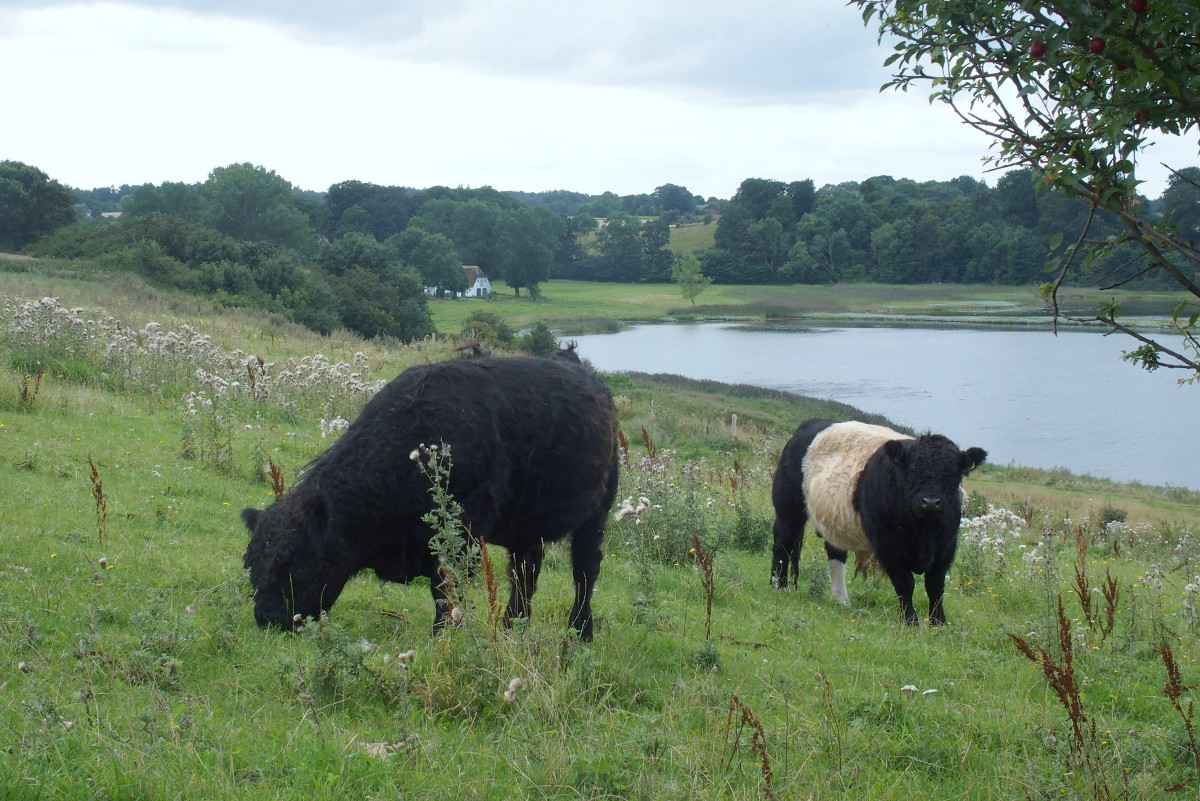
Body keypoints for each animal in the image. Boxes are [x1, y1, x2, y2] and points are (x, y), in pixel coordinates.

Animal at [242, 342, 619, 637]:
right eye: (251, 567)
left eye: (293, 565)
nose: (268, 619)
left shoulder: (461, 538)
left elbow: (446, 599)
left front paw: (444, 643)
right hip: (527, 527)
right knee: (525, 577)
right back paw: (513, 631)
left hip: (596, 513)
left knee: (585, 572)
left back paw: (580, 634)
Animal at [772, 419, 988, 623]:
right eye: (912, 472)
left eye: (952, 475)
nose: (931, 502)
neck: (923, 532)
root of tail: (811, 423)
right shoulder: (887, 542)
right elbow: (905, 583)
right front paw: (910, 621)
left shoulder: (946, 544)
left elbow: (935, 585)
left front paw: (938, 623)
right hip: (788, 508)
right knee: (783, 543)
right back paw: (779, 586)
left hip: (834, 520)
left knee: (835, 554)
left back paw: (841, 599)